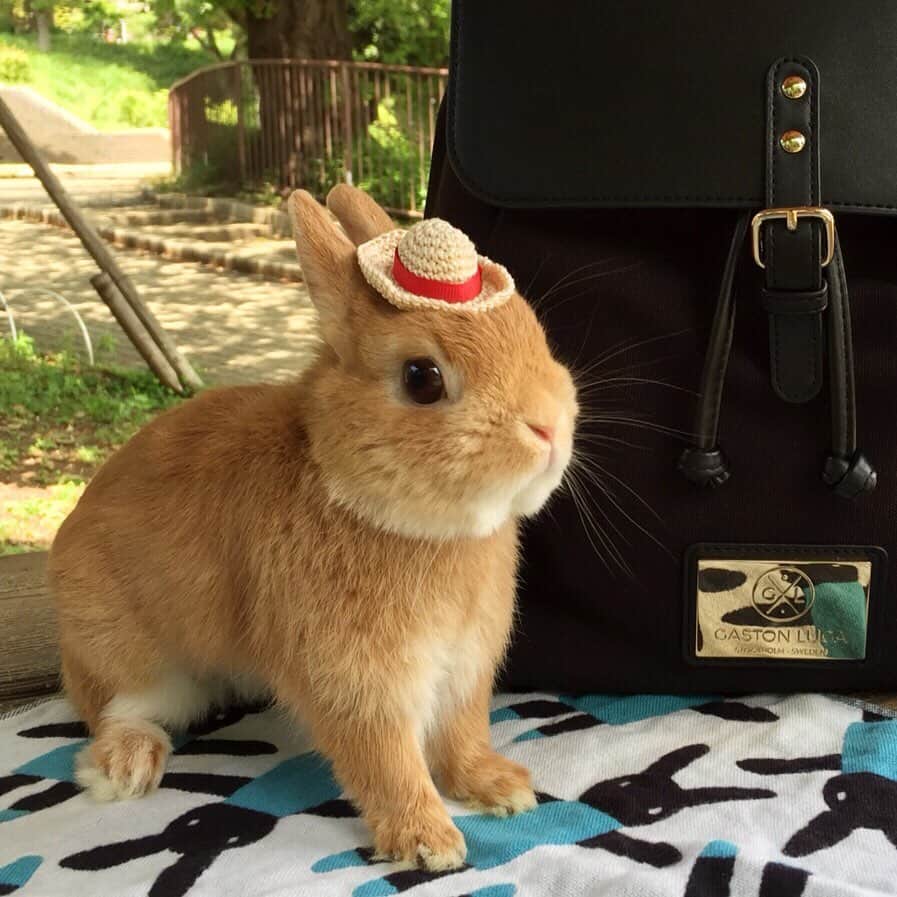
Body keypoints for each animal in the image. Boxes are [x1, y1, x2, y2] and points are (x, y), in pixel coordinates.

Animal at [48, 184, 578, 871]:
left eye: (531, 329)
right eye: (422, 378)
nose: (550, 426)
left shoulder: (465, 666)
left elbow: (462, 733)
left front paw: (499, 788)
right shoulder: (353, 678)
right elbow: (385, 758)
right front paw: (428, 842)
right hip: (129, 656)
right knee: (109, 708)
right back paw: (126, 766)